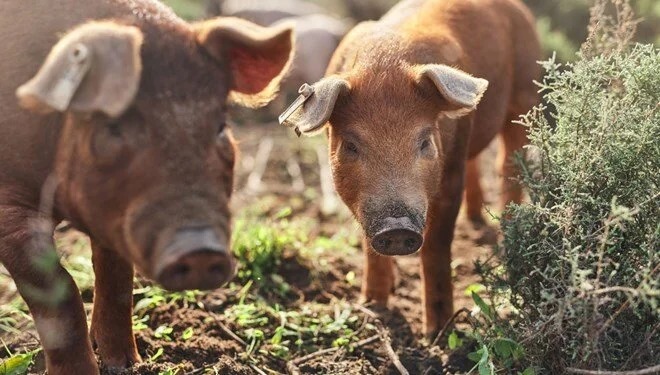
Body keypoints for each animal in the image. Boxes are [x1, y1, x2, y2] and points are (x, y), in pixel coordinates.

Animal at [0, 1, 294, 374]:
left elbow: (116, 276)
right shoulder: (8, 206)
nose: (199, 250)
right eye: (112, 127)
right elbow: (60, 291)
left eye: (221, 127)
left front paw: (125, 364)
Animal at [280, 0, 540, 336]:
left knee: (508, 165)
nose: (397, 226)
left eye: (425, 142)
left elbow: (436, 246)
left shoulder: (448, 177)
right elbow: (369, 248)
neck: (384, 62)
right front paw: (373, 305)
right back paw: (475, 221)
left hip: (524, 93)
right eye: (350, 145)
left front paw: (439, 335)